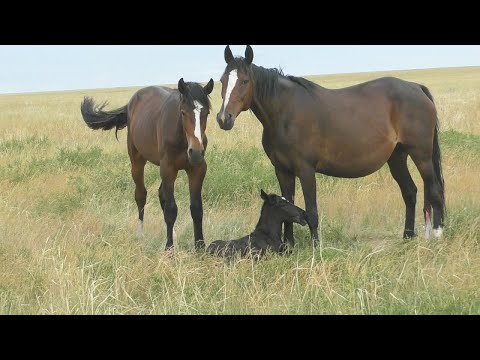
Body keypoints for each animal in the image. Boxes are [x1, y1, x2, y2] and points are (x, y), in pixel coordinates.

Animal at [82, 76, 214, 250]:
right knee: (141, 195)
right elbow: (171, 209)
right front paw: (169, 248)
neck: (181, 137)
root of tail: (131, 103)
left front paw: (200, 247)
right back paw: (140, 234)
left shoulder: (197, 169)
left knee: (161, 195)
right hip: (137, 162)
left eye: (206, 113)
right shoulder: (168, 168)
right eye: (183, 112)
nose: (196, 152)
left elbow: (196, 208)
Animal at [216, 45, 444, 249]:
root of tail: (417, 88)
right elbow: (287, 207)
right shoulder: (282, 171)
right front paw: (289, 246)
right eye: (223, 80)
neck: (285, 114)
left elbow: (312, 211)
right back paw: (407, 237)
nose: (224, 118)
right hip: (397, 157)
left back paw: (437, 234)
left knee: (433, 190)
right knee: (410, 192)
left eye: (245, 81)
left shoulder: (306, 170)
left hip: (421, 155)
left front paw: (316, 247)